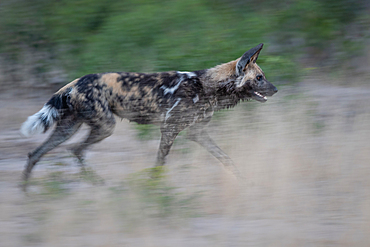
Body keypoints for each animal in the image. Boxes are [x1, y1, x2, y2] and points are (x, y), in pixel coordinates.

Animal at [19, 43, 274, 181]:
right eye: (259, 78)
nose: (276, 89)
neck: (207, 86)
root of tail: (75, 82)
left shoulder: (197, 133)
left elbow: (226, 159)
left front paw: (243, 181)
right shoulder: (170, 129)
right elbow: (159, 164)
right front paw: (153, 189)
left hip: (68, 128)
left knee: (36, 154)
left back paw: (27, 194)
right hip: (105, 127)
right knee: (76, 150)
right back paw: (99, 185)